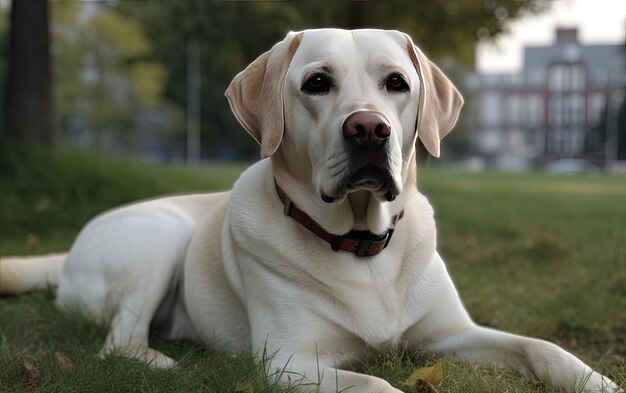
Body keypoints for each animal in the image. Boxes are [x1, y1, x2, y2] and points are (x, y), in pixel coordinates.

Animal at [1, 28, 620, 392]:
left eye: (397, 83)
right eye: (317, 83)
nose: (369, 129)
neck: (363, 243)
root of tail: (66, 255)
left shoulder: (450, 333)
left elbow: (539, 346)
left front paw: (596, 380)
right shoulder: (289, 361)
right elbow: (377, 385)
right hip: (158, 238)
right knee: (119, 342)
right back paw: (165, 359)